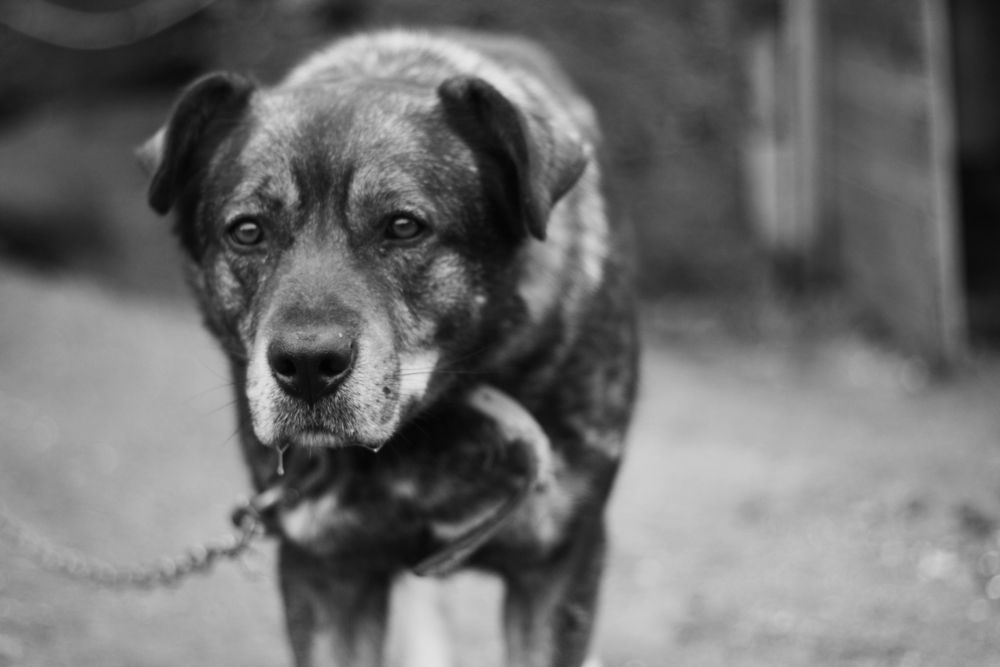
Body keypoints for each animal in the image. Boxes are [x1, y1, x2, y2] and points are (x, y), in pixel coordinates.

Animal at [140, 29, 638, 667]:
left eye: (404, 226)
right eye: (247, 231)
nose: (307, 365)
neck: (425, 434)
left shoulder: (557, 569)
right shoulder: (325, 574)